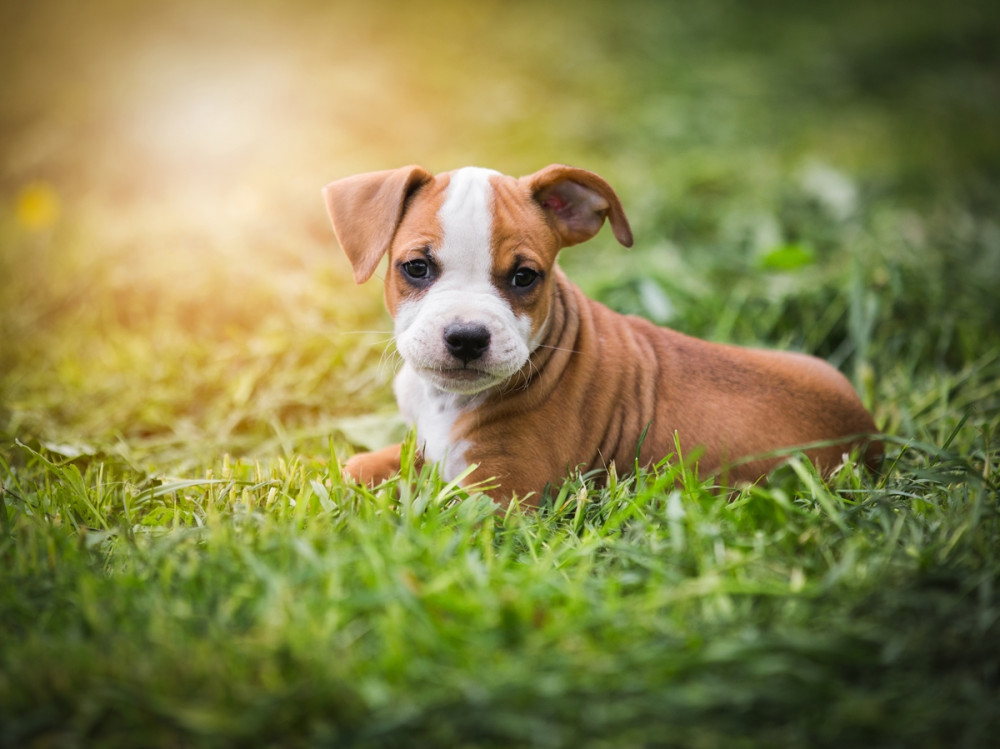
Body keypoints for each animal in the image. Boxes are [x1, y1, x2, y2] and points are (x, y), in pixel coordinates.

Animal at [324, 164, 880, 502]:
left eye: (524, 277)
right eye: (416, 267)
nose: (466, 337)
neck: (445, 403)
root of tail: (869, 434)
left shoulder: (498, 496)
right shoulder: (424, 450)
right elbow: (366, 465)